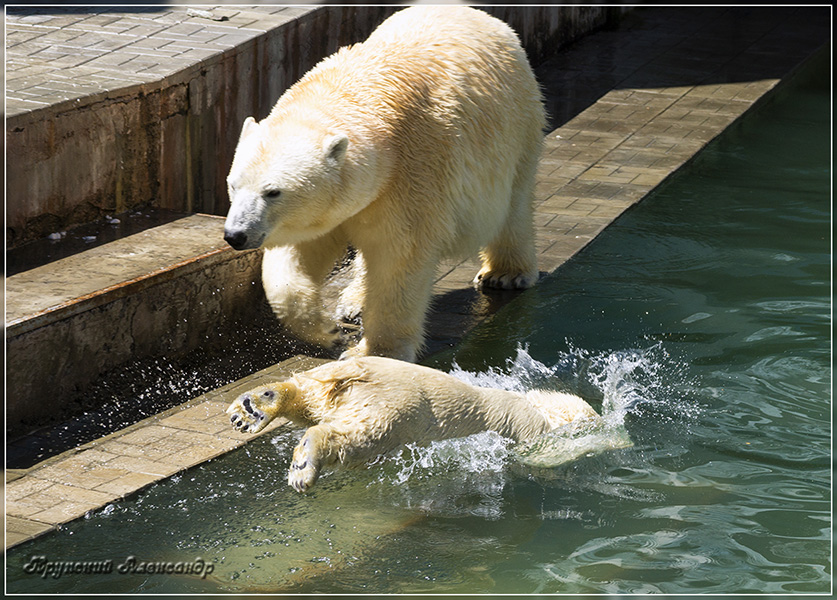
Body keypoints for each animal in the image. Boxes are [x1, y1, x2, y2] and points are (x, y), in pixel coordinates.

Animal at [222, 7, 544, 360]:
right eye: (234, 185)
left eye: (273, 192)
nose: (235, 235)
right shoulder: (337, 200)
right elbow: (300, 248)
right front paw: (324, 328)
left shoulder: (414, 171)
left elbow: (399, 254)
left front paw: (373, 352)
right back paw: (354, 301)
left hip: (518, 128)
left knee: (514, 206)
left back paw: (506, 274)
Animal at [225, 356, 596, 492]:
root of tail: (358, 373)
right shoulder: (528, 425)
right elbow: (542, 455)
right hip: (396, 411)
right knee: (356, 438)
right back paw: (305, 464)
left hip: (342, 380)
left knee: (309, 396)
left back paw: (252, 407)